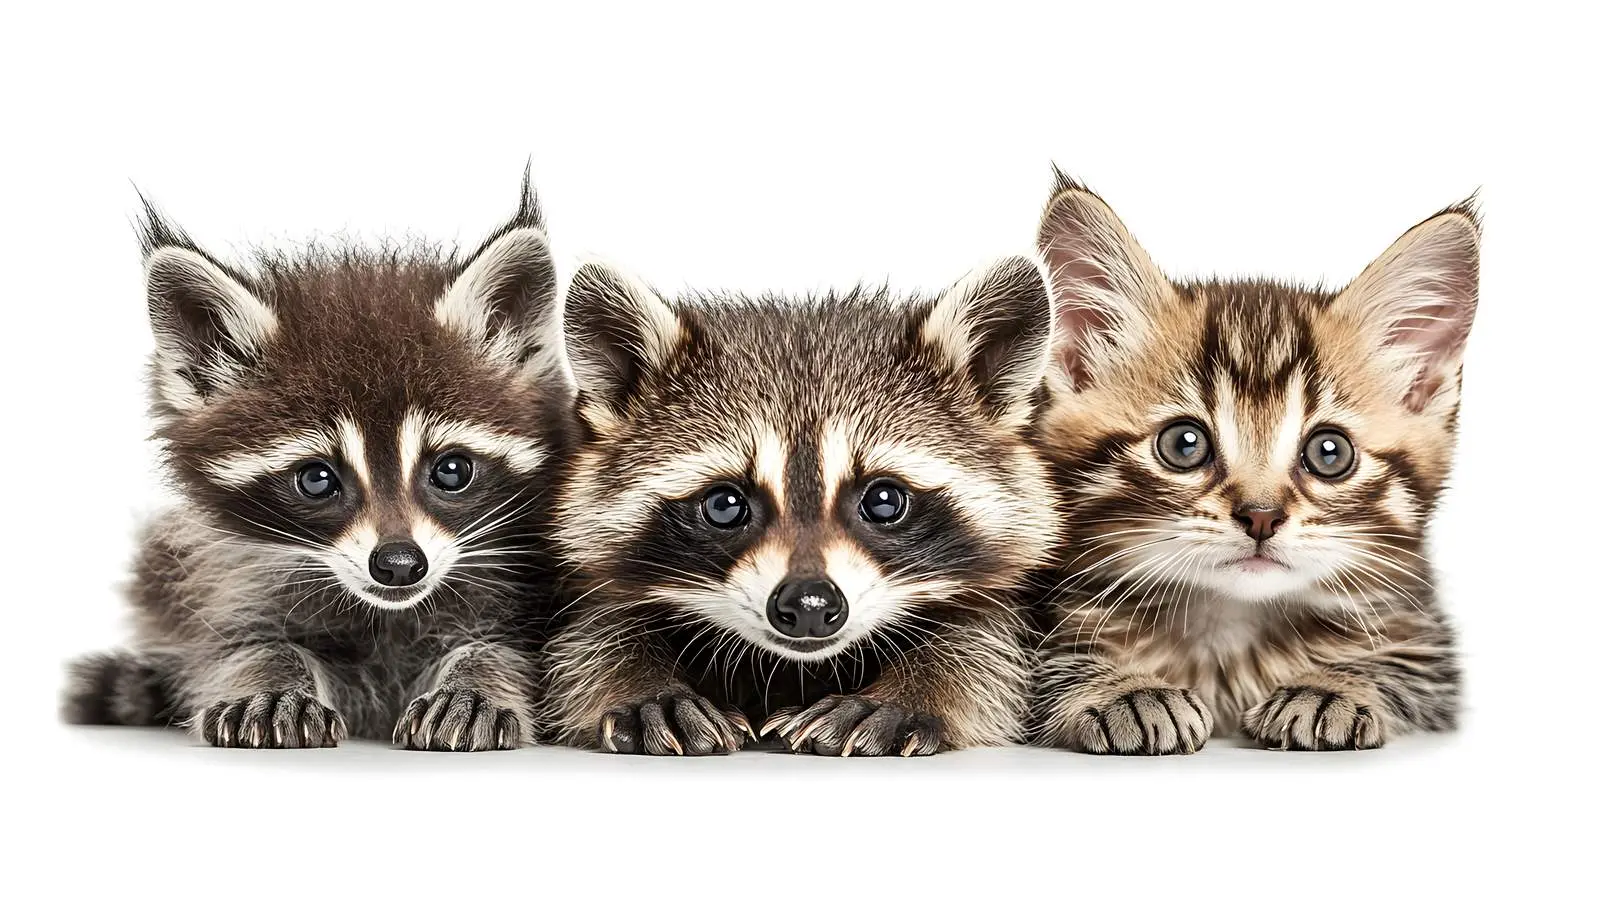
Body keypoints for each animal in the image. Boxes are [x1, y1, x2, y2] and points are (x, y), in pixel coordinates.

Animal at [61, 177, 574, 750]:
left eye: (451, 470)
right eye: (316, 479)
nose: (400, 564)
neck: (384, 612)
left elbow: (505, 651)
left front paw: (475, 678)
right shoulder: (221, 583)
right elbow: (240, 646)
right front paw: (272, 675)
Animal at [541, 257, 1061, 755]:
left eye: (885, 501)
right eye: (725, 505)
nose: (810, 603)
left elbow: (981, 649)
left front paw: (906, 694)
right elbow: (597, 639)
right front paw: (646, 688)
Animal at [1028, 171, 1477, 753]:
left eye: (1329, 452)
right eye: (1184, 445)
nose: (1261, 516)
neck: (1233, 623)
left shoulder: (1431, 658)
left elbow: (1397, 668)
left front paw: (1329, 688)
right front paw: (1125, 689)